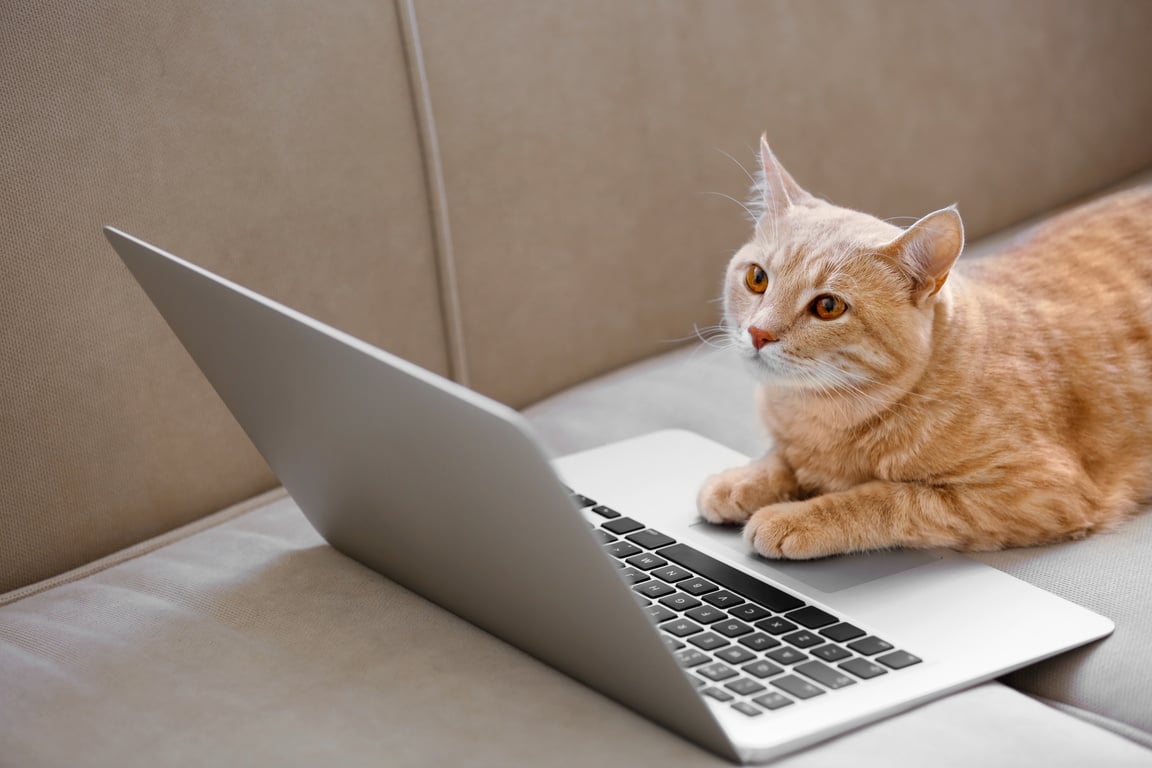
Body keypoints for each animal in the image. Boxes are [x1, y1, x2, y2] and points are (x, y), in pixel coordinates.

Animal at [695, 138, 1152, 559]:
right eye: (757, 278)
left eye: (828, 306)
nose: (758, 332)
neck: (822, 416)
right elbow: (782, 458)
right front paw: (742, 479)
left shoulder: (1035, 493)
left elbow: (889, 498)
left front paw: (797, 517)